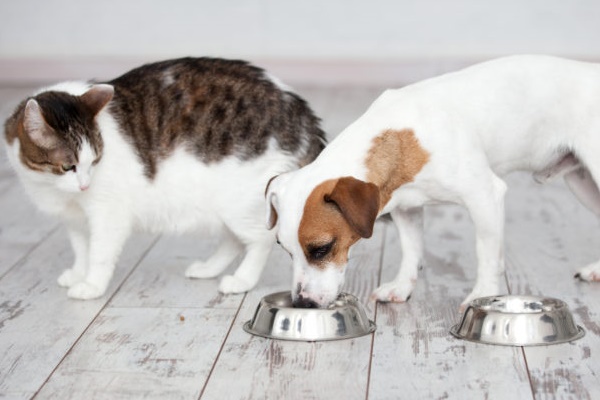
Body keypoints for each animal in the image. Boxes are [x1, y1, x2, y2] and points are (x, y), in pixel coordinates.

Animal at [3, 57, 324, 298]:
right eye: (68, 167)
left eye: (94, 160)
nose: (84, 184)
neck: (57, 191)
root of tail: (303, 116)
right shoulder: (75, 220)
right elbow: (82, 249)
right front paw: (78, 273)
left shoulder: (108, 214)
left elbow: (99, 253)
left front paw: (91, 285)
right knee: (234, 240)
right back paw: (209, 269)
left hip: (240, 200)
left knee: (260, 240)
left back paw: (242, 280)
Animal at [266, 54, 600, 308]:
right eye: (284, 249)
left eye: (322, 249)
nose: (302, 303)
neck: (403, 139)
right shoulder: (406, 208)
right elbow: (411, 250)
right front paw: (402, 286)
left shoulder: (485, 197)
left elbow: (486, 253)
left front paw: (484, 293)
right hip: (583, 186)